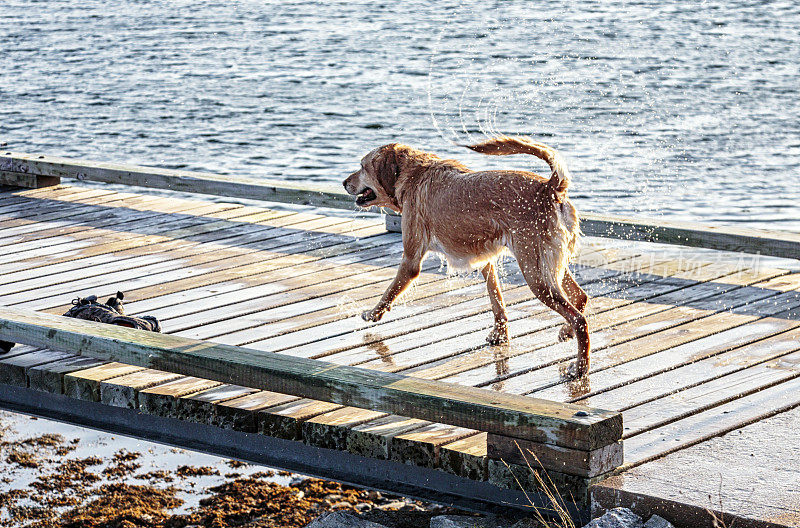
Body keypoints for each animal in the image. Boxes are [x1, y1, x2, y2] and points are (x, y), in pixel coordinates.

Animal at [340, 134, 592, 378]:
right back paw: (566, 332)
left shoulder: (411, 259)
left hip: (536, 274)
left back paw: (580, 368)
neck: (412, 174)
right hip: (549, 266)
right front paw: (499, 334)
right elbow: (496, 300)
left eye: (362, 166)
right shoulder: (485, 259)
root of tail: (549, 187)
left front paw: (373, 313)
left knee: (579, 318)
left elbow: (390, 291)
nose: (344, 182)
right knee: (580, 297)